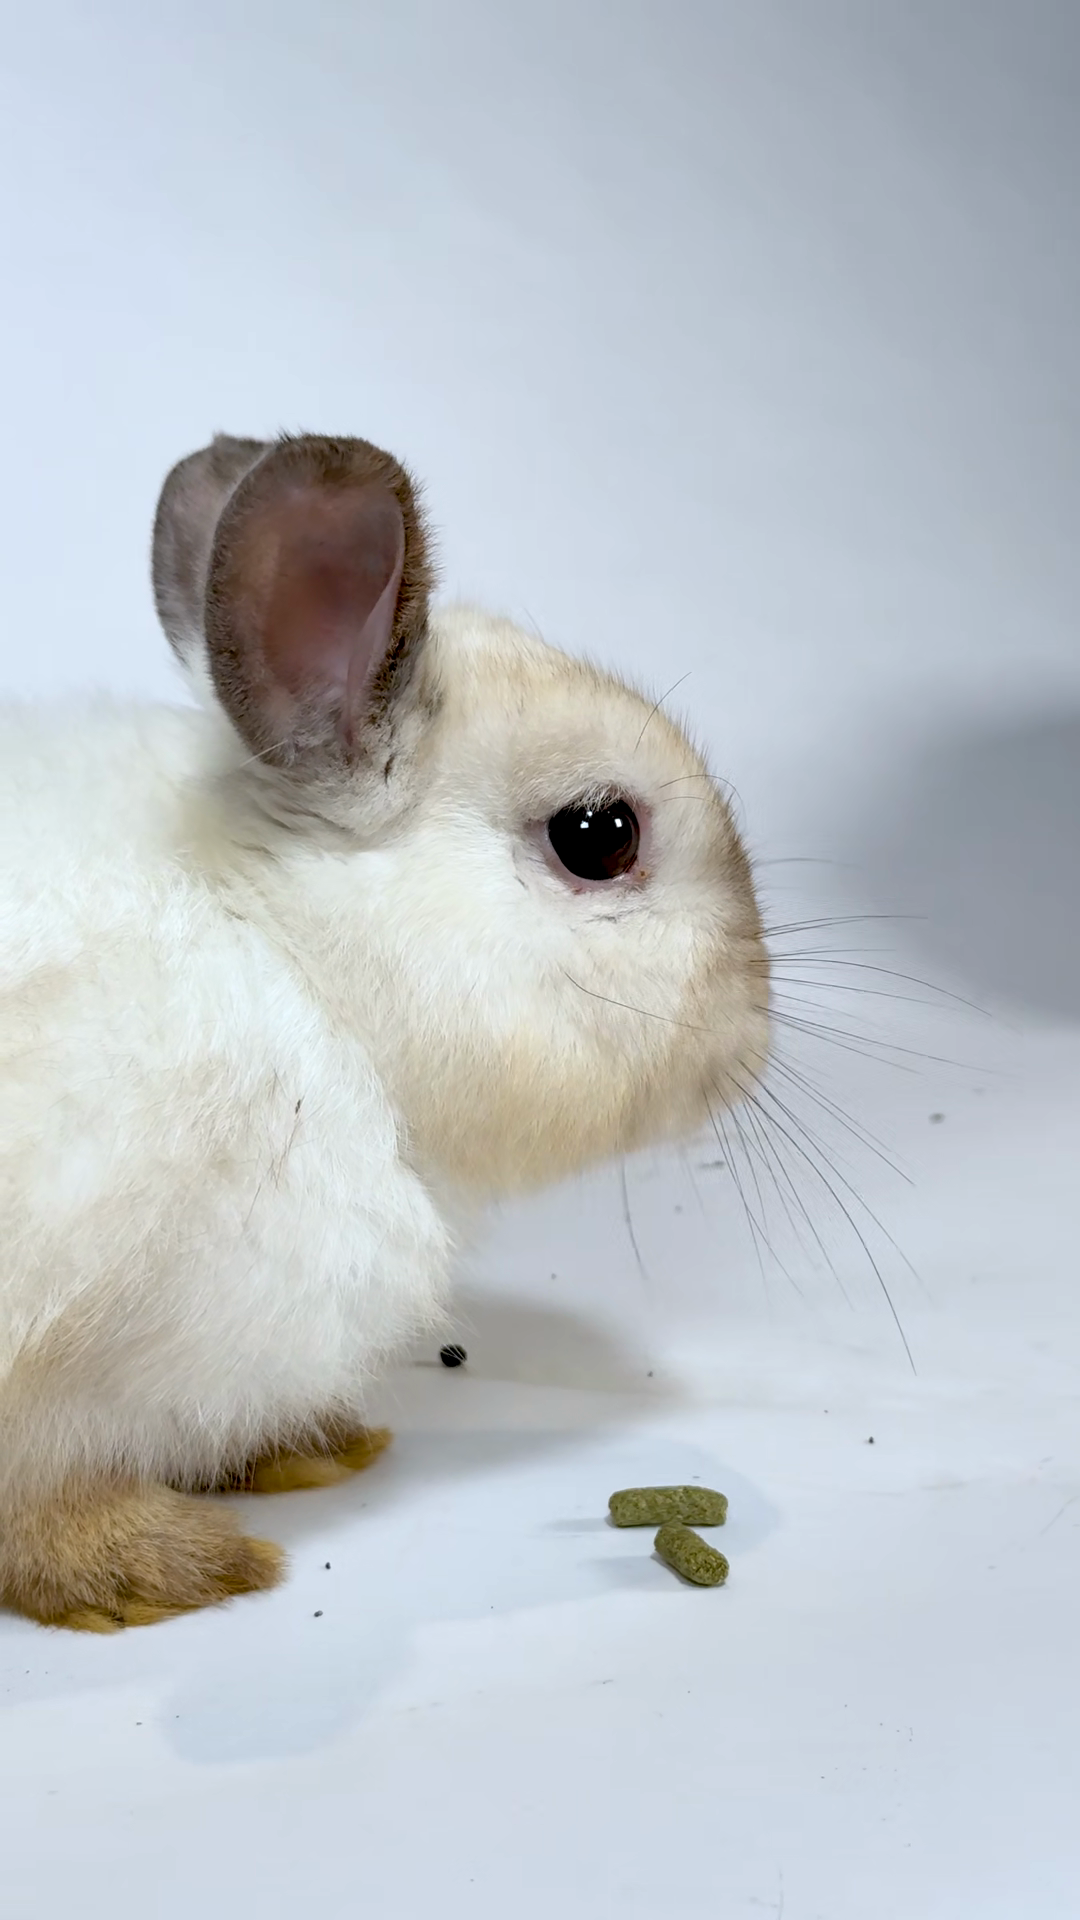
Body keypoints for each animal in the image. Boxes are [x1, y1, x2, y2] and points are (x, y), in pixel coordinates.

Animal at [0, 430, 769, 1631]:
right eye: (598, 835)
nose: (756, 1023)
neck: (293, 960)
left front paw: (310, 1451)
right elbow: (37, 1510)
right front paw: (155, 1568)